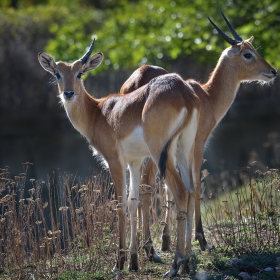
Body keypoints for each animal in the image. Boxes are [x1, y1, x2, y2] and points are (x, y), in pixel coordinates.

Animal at [38, 39, 201, 276]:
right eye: (57, 73)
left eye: (80, 73)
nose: (68, 93)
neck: (99, 113)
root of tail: (184, 93)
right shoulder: (134, 161)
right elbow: (133, 201)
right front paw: (133, 260)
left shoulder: (114, 162)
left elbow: (120, 204)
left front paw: (120, 262)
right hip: (183, 151)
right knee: (191, 190)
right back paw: (187, 262)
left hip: (161, 153)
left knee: (180, 192)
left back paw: (175, 265)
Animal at [118, 12, 278, 272]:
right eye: (247, 53)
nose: (273, 71)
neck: (207, 96)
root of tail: (138, 77)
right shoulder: (198, 143)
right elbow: (195, 186)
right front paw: (200, 240)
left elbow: (174, 189)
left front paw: (170, 241)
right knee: (147, 185)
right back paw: (148, 251)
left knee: (142, 187)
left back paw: (141, 252)